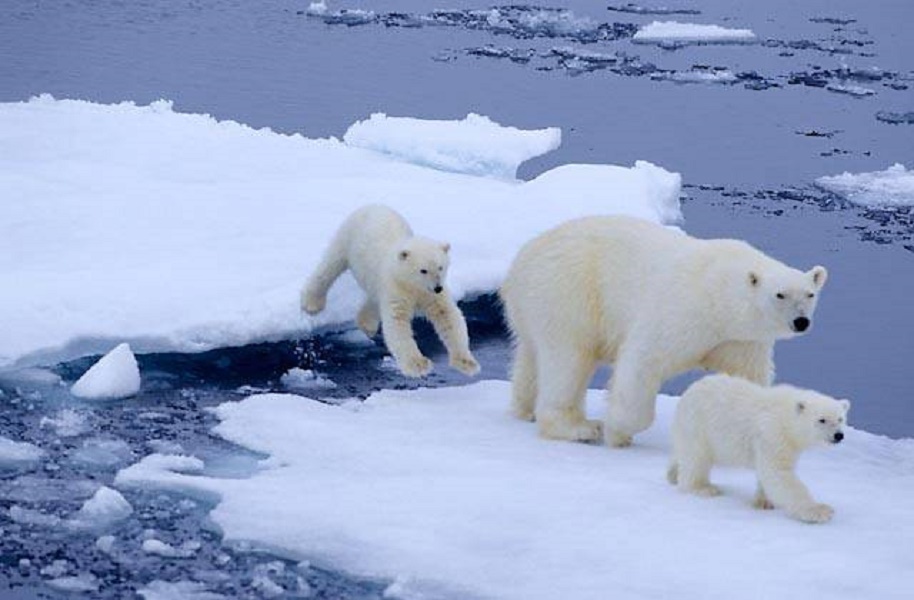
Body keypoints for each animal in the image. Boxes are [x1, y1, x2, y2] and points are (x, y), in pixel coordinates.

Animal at [498, 216, 828, 446]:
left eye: (810, 294)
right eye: (780, 294)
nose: (801, 321)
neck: (718, 292)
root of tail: (520, 262)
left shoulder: (740, 339)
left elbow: (745, 377)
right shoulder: (684, 311)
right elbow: (643, 360)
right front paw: (618, 431)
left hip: (534, 306)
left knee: (531, 355)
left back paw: (524, 409)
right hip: (569, 292)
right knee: (568, 359)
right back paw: (578, 427)